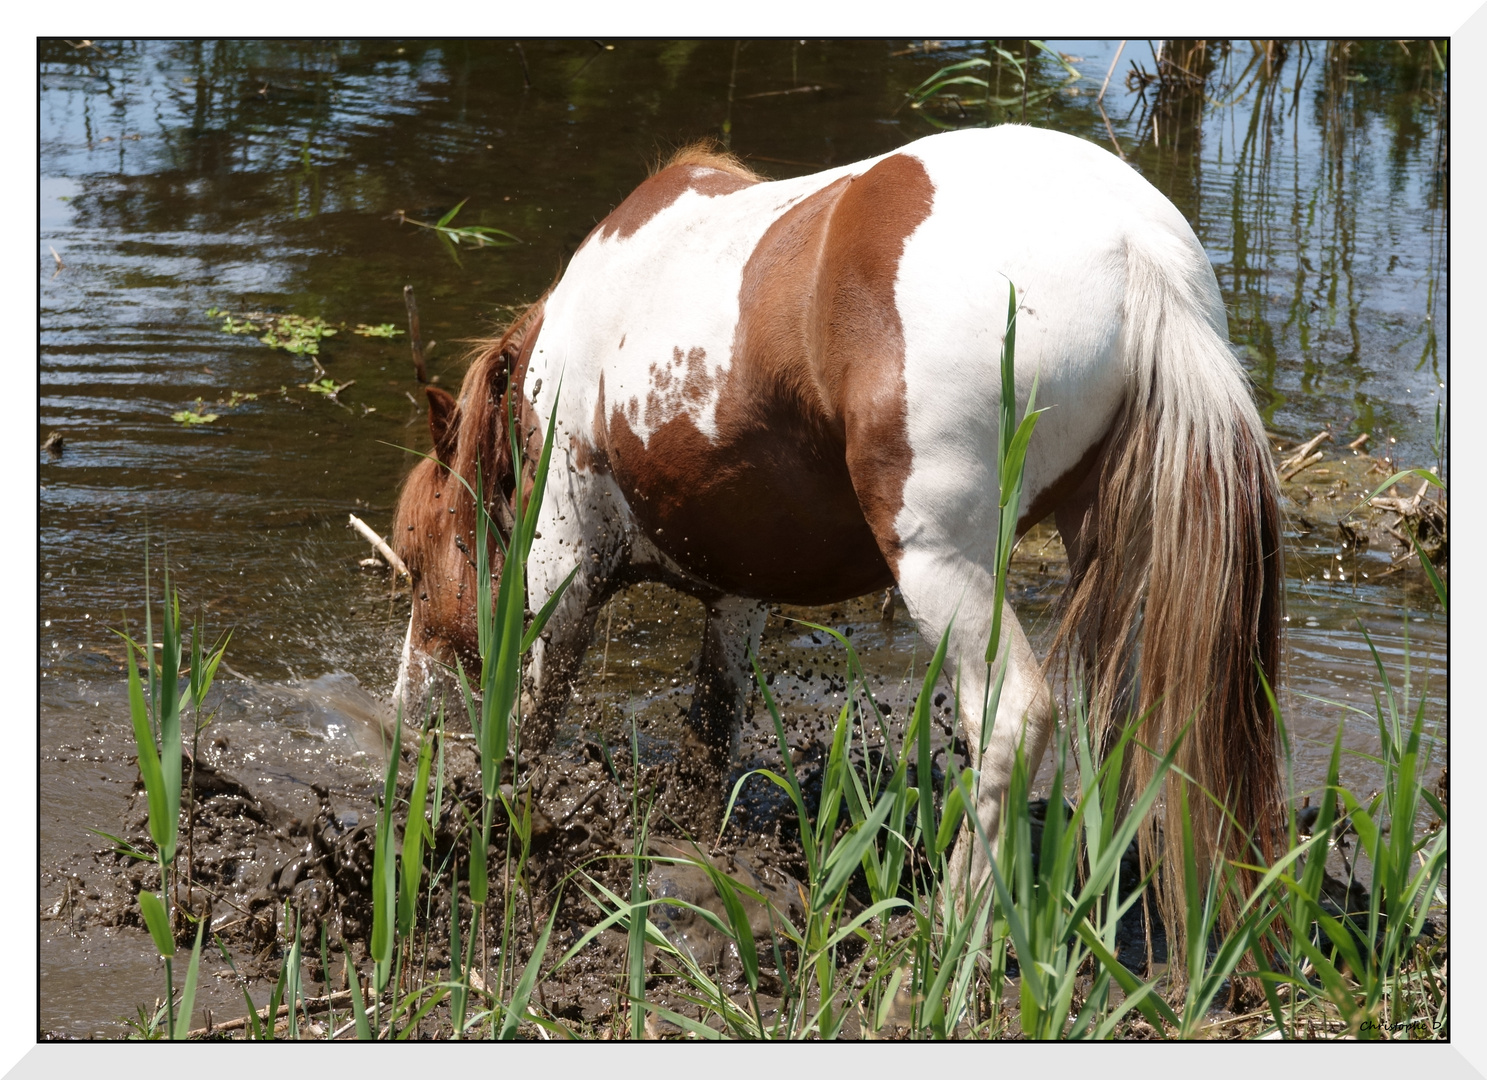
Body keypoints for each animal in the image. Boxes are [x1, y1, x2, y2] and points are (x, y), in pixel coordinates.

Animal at [398, 124, 1290, 946]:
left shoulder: (563, 562)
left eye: (414, 555)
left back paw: (953, 931)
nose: (409, 707)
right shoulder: (737, 588)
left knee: (1015, 720)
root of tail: (1135, 249)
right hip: (1110, 542)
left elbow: (531, 718)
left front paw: (511, 831)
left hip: (939, 564)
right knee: (1130, 723)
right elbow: (710, 730)